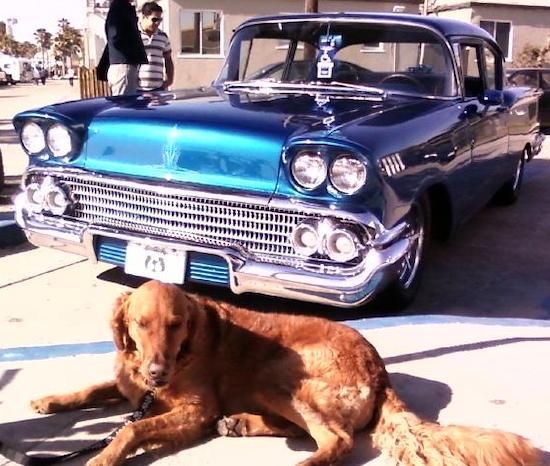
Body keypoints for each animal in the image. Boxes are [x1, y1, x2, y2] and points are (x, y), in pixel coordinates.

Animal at [31, 280, 544, 466]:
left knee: (335, 439)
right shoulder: (133, 388)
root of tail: (380, 369)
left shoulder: (196, 411)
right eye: (140, 324)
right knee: (306, 429)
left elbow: (130, 431)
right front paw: (50, 399)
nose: (157, 373)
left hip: (277, 371)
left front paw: (103, 456)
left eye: (176, 325)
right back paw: (241, 423)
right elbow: (93, 389)